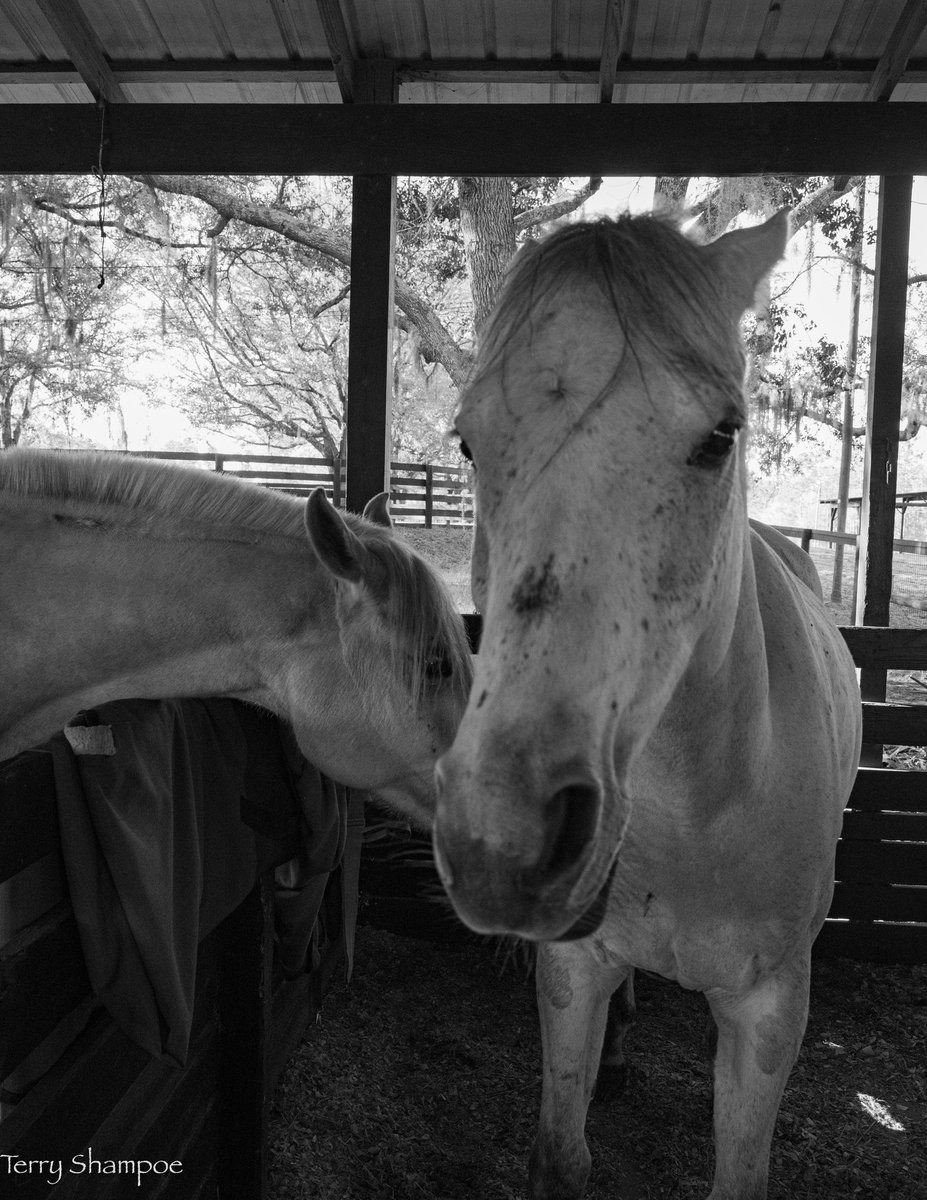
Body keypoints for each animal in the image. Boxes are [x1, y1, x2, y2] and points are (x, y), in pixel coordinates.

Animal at [434, 212, 862, 1199]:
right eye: (469, 443)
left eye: (720, 436)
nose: (500, 841)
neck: (702, 809)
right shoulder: (569, 971)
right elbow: (560, 1152)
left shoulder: (767, 1011)